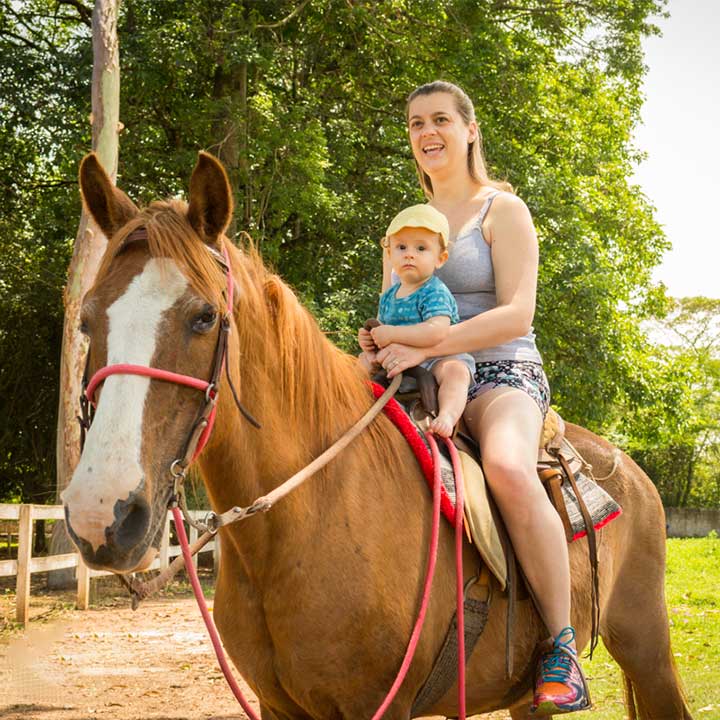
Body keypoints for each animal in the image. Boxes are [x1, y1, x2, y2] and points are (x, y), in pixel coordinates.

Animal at [60, 153, 692, 720]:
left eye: (204, 317)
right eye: (86, 319)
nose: (103, 515)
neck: (307, 522)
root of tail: (627, 470)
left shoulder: (378, 706)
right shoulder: (277, 706)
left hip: (646, 647)